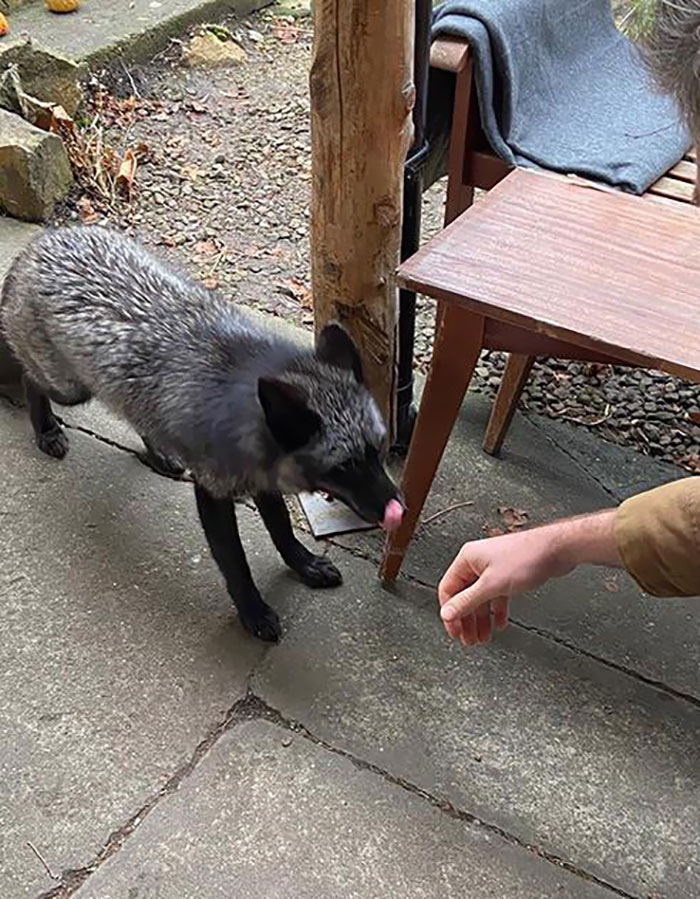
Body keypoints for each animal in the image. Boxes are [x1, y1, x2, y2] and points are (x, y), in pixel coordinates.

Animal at [0, 226, 404, 642]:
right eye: (343, 467)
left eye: (378, 451)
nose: (397, 510)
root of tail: (43, 241)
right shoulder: (212, 490)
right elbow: (236, 564)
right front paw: (253, 612)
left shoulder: (262, 477)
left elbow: (281, 529)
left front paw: (303, 564)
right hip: (70, 388)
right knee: (30, 379)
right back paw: (46, 430)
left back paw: (159, 453)